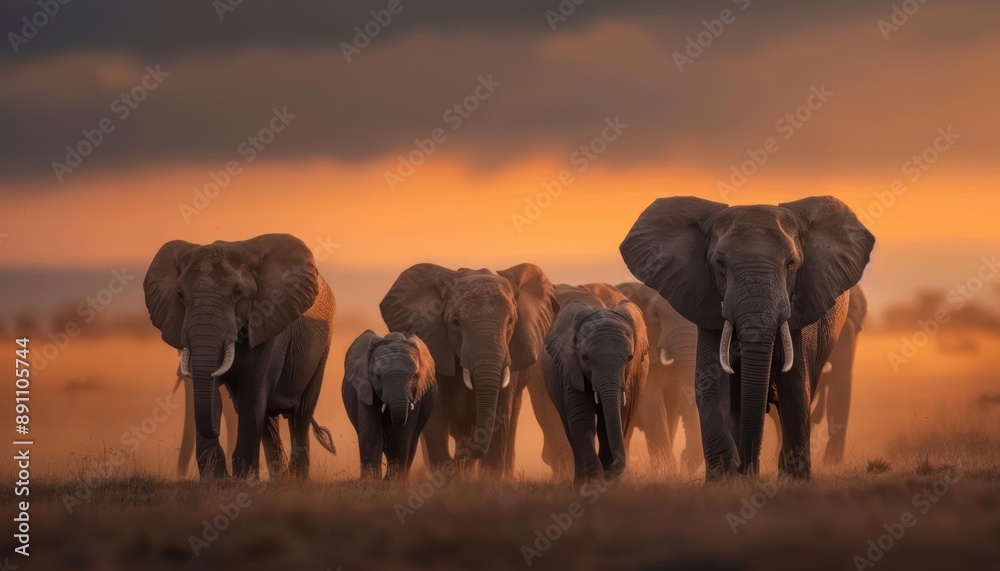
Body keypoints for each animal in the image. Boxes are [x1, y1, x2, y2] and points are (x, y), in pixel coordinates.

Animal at [144, 234, 337, 479]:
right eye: (180, 295)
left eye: (237, 293)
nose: (215, 430)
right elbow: (214, 396)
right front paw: (217, 478)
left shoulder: (269, 322)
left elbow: (252, 393)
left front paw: (242, 479)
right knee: (269, 422)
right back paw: (280, 478)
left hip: (323, 348)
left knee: (300, 413)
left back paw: (296, 480)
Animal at [342, 330, 438, 479]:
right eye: (378, 377)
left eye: (415, 376)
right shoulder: (364, 388)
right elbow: (371, 433)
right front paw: (371, 481)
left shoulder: (416, 394)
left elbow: (400, 435)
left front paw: (392, 482)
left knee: (412, 440)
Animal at [380, 263, 558, 476]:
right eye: (456, 322)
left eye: (510, 321)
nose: (474, 449)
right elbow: (436, 415)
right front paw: (446, 475)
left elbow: (501, 411)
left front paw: (488, 477)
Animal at [540, 283, 648, 484]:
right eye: (585, 358)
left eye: (630, 358)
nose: (616, 466)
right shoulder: (570, 368)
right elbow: (582, 417)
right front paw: (590, 483)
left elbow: (615, 417)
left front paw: (607, 481)